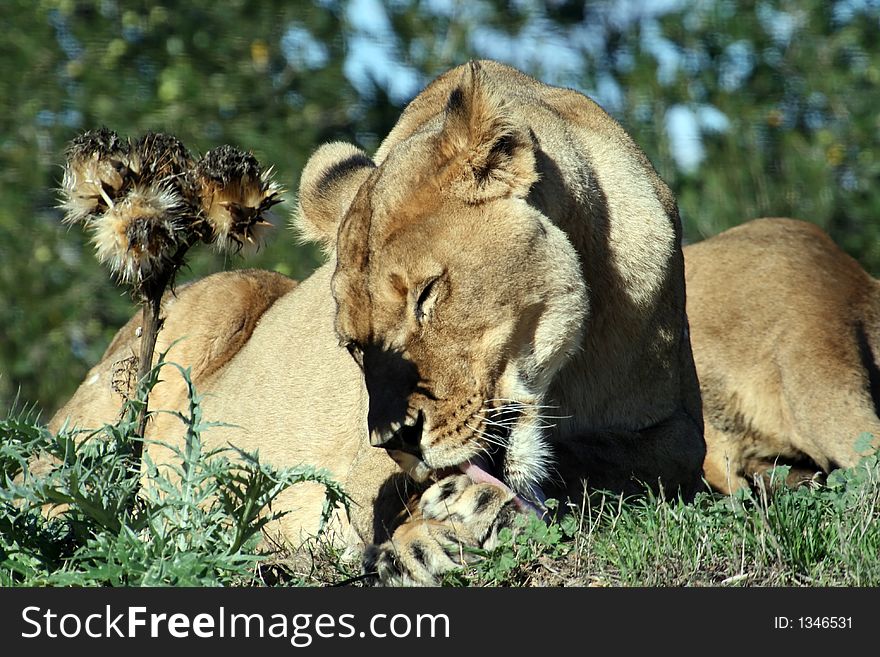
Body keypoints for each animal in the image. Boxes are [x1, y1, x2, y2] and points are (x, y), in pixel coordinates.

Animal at [51, 61, 704, 584]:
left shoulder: (678, 436)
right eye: (352, 346)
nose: (397, 439)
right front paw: (436, 531)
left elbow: (600, 462)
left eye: (427, 295)